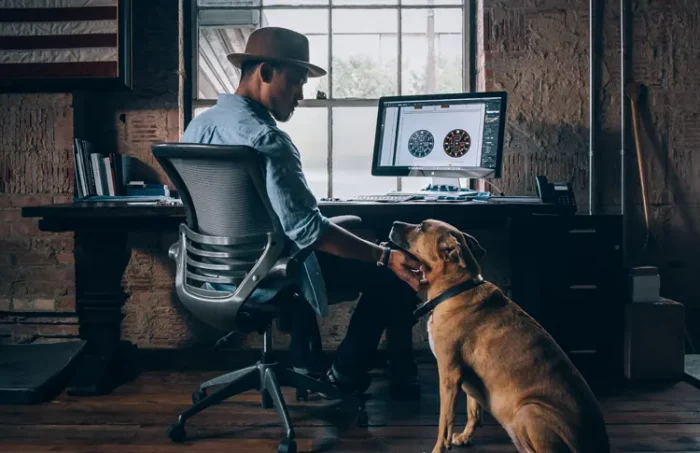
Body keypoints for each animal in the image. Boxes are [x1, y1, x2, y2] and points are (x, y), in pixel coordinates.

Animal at [388, 219, 608, 452]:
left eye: (421, 227)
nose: (393, 223)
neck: (457, 288)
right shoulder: (467, 379)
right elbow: (473, 411)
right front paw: (465, 437)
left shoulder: (449, 374)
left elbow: (444, 423)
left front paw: (439, 448)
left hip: (527, 410)